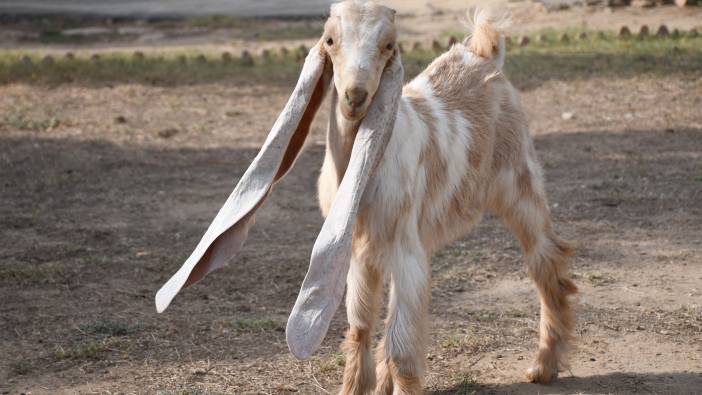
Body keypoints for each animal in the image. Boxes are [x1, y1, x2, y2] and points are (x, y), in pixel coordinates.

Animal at [157, 1, 580, 394]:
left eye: (389, 45)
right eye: (329, 40)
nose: (355, 96)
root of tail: (481, 53)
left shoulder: (404, 246)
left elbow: (402, 346)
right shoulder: (360, 247)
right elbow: (360, 324)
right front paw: (356, 385)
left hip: (518, 182)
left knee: (545, 260)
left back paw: (543, 366)